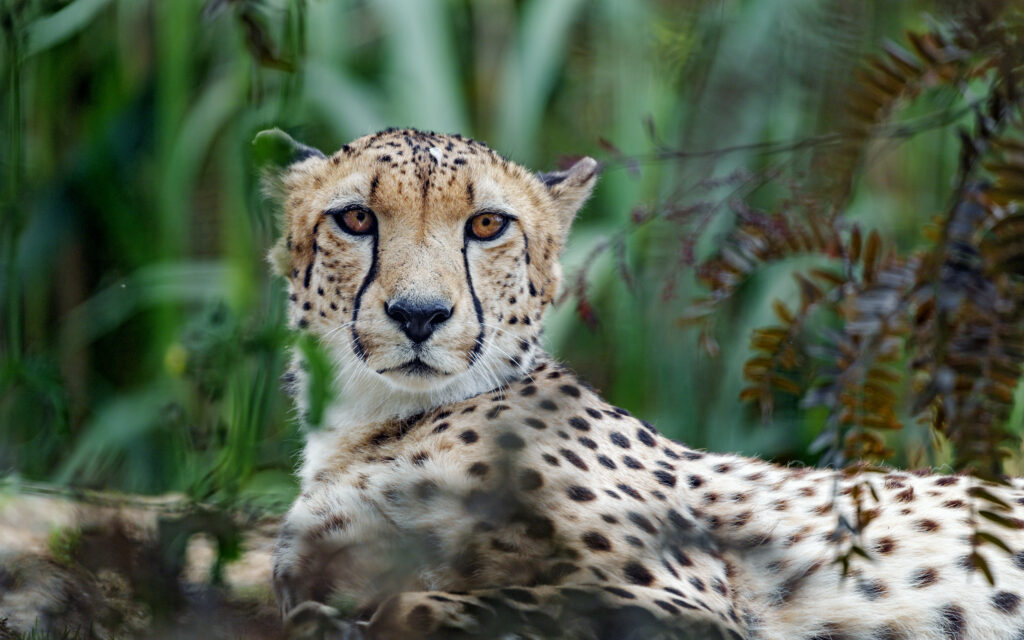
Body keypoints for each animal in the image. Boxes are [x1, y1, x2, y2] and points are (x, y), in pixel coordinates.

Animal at [264, 126, 1024, 640]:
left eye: (486, 224)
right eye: (355, 218)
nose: (419, 314)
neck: (374, 422)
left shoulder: (692, 607)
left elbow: (446, 603)